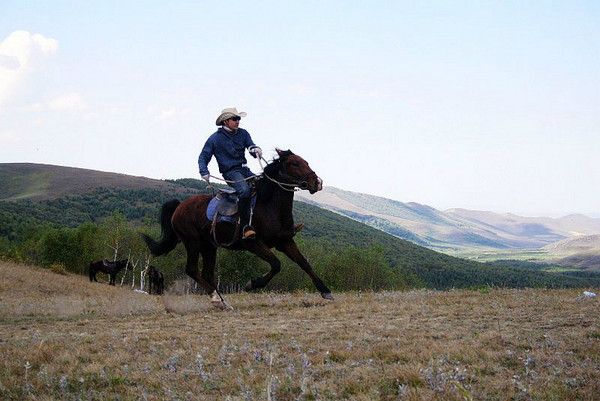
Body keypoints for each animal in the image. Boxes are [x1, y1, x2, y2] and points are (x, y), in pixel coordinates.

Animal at [144, 148, 336, 308]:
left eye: (306, 162)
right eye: (294, 163)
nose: (316, 182)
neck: (269, 206)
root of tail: (179, 206)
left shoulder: (285, 241)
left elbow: (304, 263)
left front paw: (325, 291)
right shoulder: (253, 244)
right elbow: (276, 264)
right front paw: (252, 284)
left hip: (209, 246)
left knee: (207, 273)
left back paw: (222, 302)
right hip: (192, 242)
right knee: (192, 270)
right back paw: (216, 299)